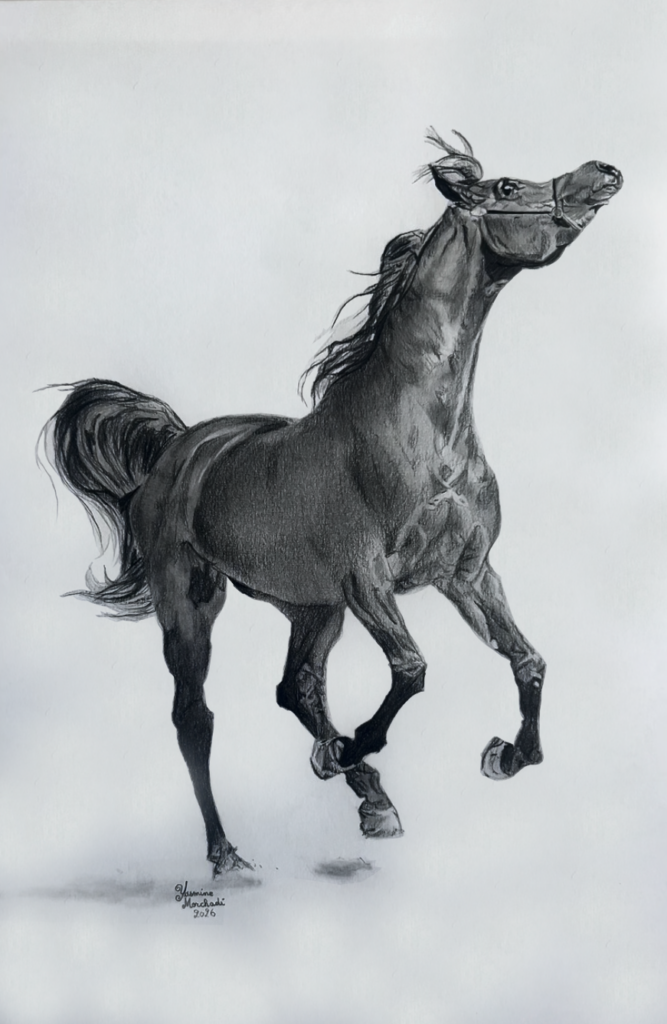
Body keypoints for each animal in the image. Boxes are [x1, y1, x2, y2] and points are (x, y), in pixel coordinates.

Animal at [44, 130, 622, 875]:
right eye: (505, 188)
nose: (604, 171)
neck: (422, 432)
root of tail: (177, 449)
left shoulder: (465, 576)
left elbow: (527, 661)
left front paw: (504, 756)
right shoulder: (366, 581)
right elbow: (412, 670)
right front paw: (353, 744)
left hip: (311, 608)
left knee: (295, 687)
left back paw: (369, 799)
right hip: (193, 602)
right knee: (194, 718)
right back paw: (229, 852)